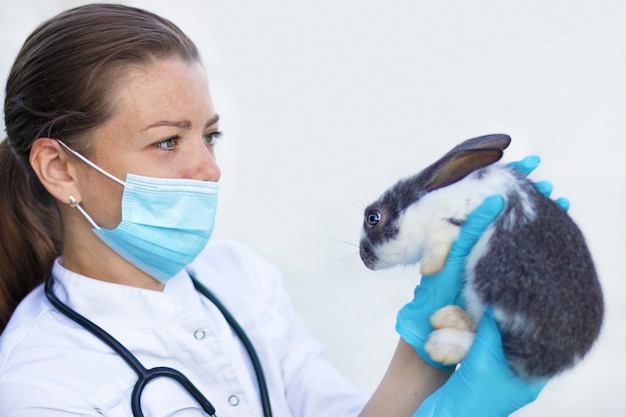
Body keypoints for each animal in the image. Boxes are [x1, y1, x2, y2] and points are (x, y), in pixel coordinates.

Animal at [358, 133, 604, 376]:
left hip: (484, 289)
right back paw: (449, 317)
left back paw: (441, 342)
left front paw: (429, 267)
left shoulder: (452, 222)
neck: (428, 201)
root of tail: (560, 358)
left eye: (373, 218)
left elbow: (439, 241)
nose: (364, 258)